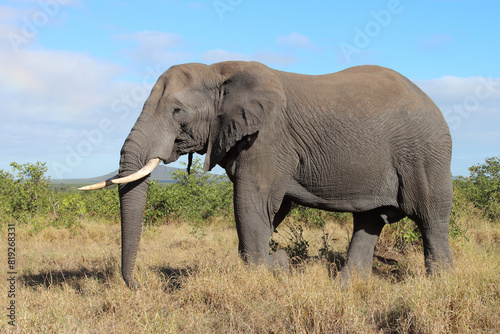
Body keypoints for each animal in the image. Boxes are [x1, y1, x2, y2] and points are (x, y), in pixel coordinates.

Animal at [81, 61, 454, 288]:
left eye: (177, 111)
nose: (140, 284)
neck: (218, 71)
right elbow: (268, 211)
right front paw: (276, 265)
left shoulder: (267, 139)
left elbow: (252, 203)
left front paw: (271, 270)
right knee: (369, 220)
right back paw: (346, 285)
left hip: (425, 154)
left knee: (431, 218)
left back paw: (440, 283)